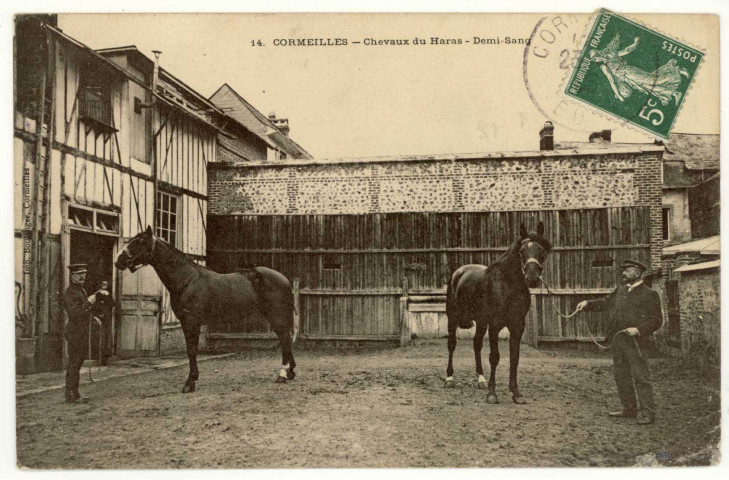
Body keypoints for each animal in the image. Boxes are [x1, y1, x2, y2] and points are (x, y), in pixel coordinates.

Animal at [115, 226, 296, 393]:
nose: (118, 261)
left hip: (276, 315)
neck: (187, 280)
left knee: (284, 339)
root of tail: (284, 279)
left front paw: (190, 382)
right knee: (286, 339)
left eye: (140, 242)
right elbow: (191, 351)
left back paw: (282, 374)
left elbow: (191, 351)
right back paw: (290, 372)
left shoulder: (191, 322)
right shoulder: (187, 322)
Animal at [445, 222, 551, 404]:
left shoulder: (517, 326)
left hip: (481, 322)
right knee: (452, 344)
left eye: (542, 250)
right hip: (452, 318)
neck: (508, 285)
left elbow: (514, 357)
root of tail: (458, 272)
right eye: (521, 251)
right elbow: (494, 357)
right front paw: (492, 394)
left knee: (477, 344)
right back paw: (449, 378)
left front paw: (516, 393)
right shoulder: (494, 325)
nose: (532, 278)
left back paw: (481, 380)